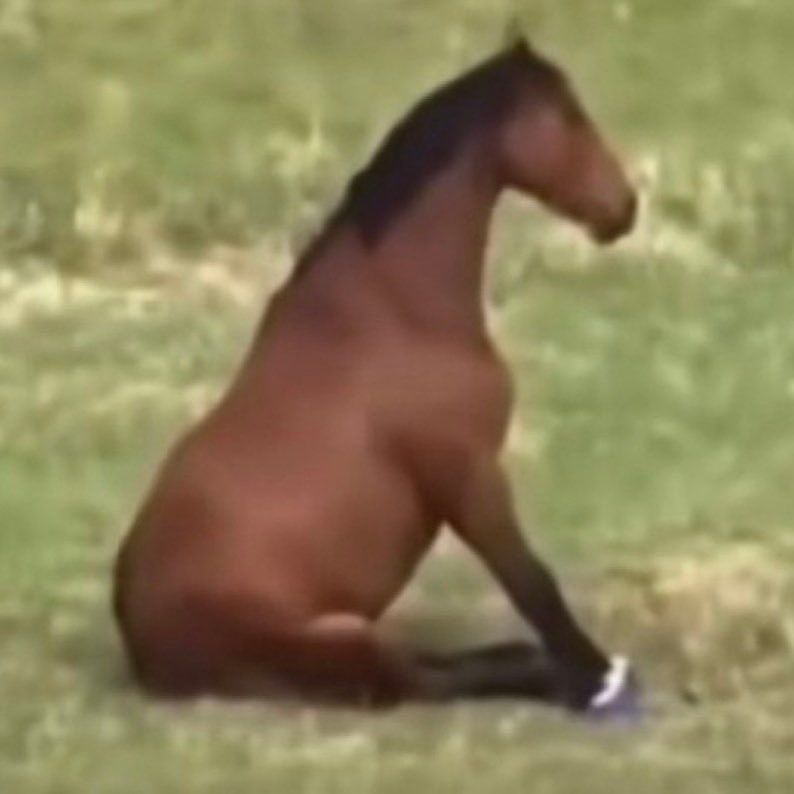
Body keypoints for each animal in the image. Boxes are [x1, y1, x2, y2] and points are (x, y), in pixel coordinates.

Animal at [113, 36, 639, 716]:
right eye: (568, 116)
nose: (624, 207)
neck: (397, 310)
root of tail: (139, 640)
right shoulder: (468, 474)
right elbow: (531, 580)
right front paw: (597, 678)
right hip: (346, 640)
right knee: (427, 680)